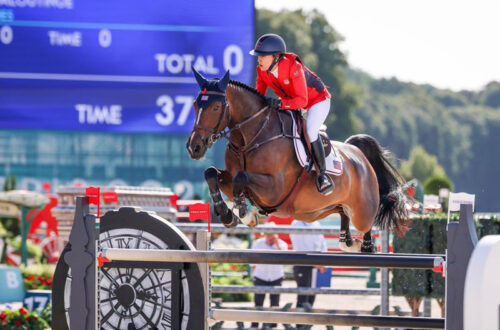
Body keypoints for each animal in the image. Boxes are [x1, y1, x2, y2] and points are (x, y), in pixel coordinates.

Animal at [186, 68, 408, 251]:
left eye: (216, 107)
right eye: (196, 104)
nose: (194, 147)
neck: (250, 138)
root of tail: (358, 154)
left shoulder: (274, 189)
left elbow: (242, 177)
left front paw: (244, 213)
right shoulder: (231, 179)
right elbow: (211, 173)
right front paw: (227, 215)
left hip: (362, 211)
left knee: (366, 224)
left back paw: (367, 245)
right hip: (328, 208)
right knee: (344, 219)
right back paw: (348, 241)